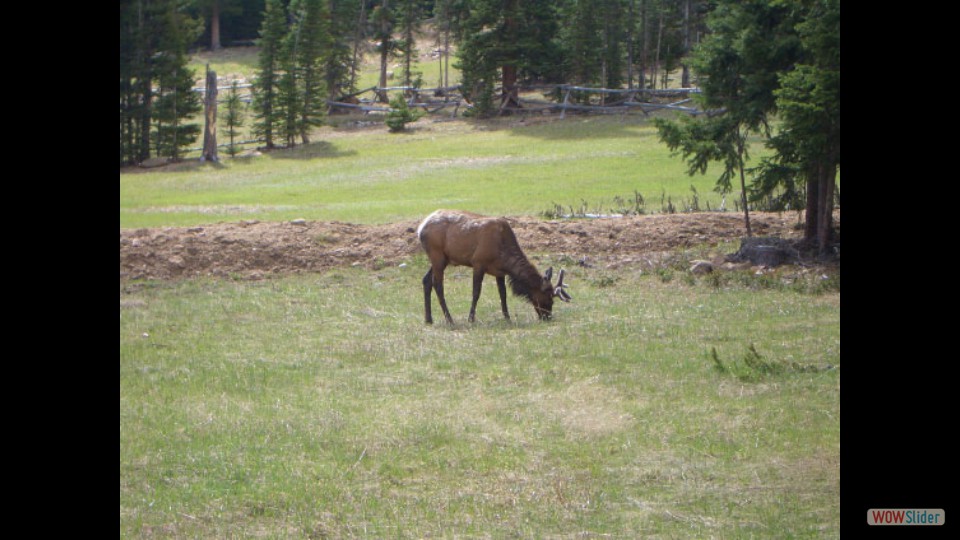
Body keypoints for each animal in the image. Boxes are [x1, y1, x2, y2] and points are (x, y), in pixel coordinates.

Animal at [414, 209, 568, 322]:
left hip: (443, 259)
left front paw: (507, 317)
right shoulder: (478, 263)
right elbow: (476, 292)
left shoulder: (499, 272)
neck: (503, 256)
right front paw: (471, 318)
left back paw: (428, 319)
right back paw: (449, 319)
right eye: (548, 298)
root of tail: (420, 229)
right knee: (437, 284)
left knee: (426, 280)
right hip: (437, 255)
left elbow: (503, 294)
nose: (547, 317)